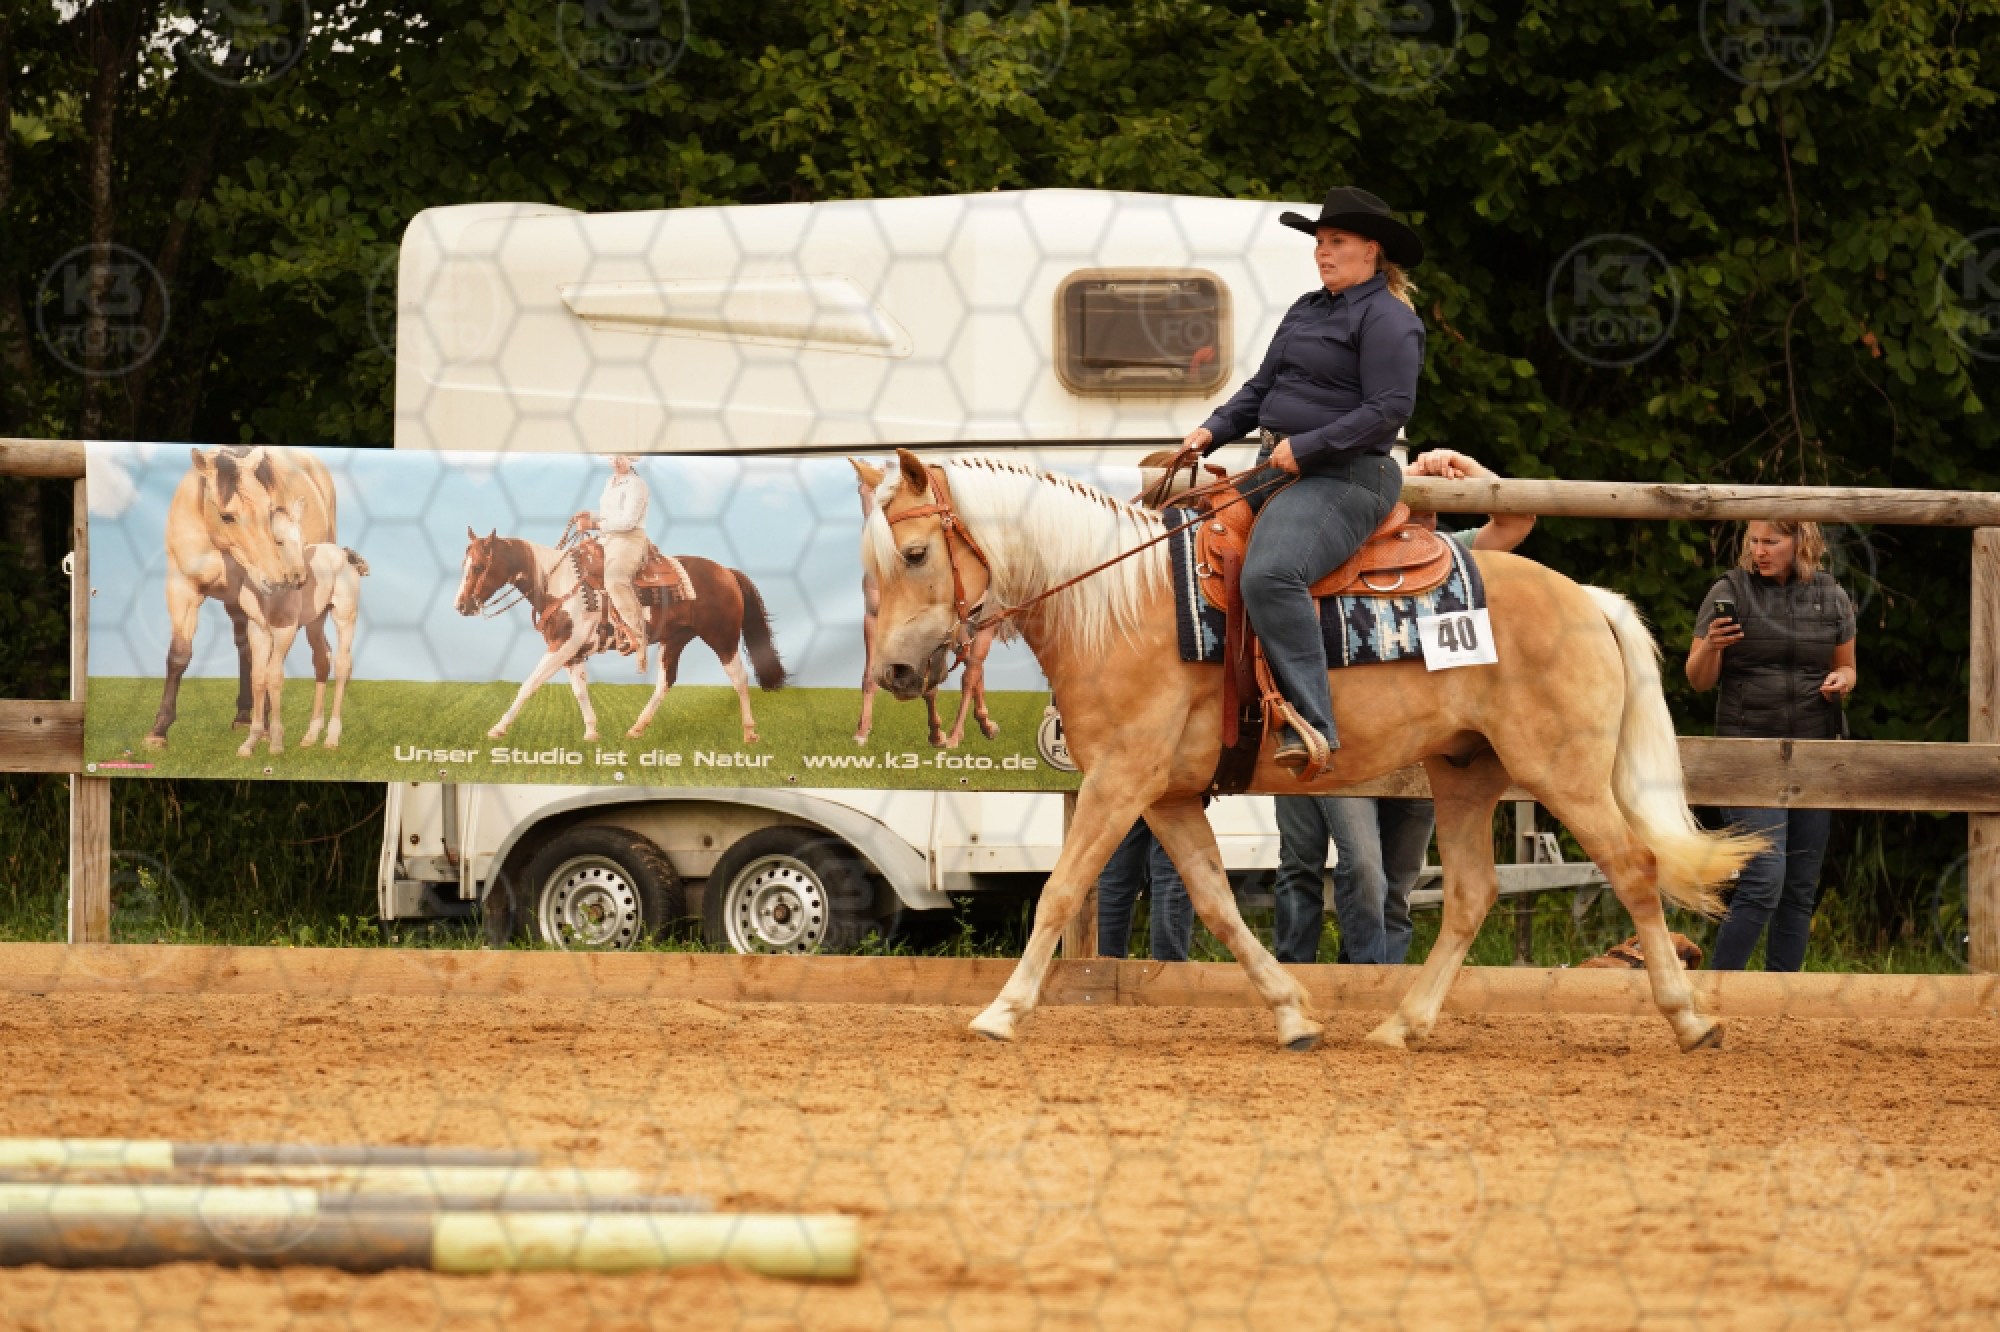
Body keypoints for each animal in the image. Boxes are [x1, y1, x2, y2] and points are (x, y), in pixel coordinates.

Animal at [145, 446, 337, 749]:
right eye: (227, 516)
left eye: (269, 510)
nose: (279, 579)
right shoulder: (182, 590)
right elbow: (179, 655)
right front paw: (158, 730)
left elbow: (268, 663)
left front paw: (267, 728)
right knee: (246, 650)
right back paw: (245, 715)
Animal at [228, 525, 367, 758]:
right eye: (278, 541)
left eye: (301, 540)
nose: (298, 579)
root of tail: (343, 554)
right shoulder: (257, 629)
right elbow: (258, 677)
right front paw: (250, 743)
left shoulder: (286, 630)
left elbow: (273, 676)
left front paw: (276, 743)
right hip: (315, 621)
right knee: (322, 661)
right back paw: (310, 737)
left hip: (344, 616)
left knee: (342, 665)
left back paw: (331, 738)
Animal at [455, 529, 785, 745]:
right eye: (464, 565)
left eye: (479, 566)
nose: (461, 606)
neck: (558, 584)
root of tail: (726, 572)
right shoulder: (573, 652)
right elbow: (580, 691)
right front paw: (591, 733)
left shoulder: (563, 645)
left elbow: (529, 685)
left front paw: (498, 728)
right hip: (675, 640)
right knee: (666, 681)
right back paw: (637, 729)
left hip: (723, 638)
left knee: (739, 678)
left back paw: (749, 732)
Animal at [850, 458, 999, 748]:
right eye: (860, 489)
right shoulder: (874, 620)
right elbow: (871, 677)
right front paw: (862, 731)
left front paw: (939, 734)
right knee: (974, 670)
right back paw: (982, 723)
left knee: (972, 672)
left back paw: (962, 732)